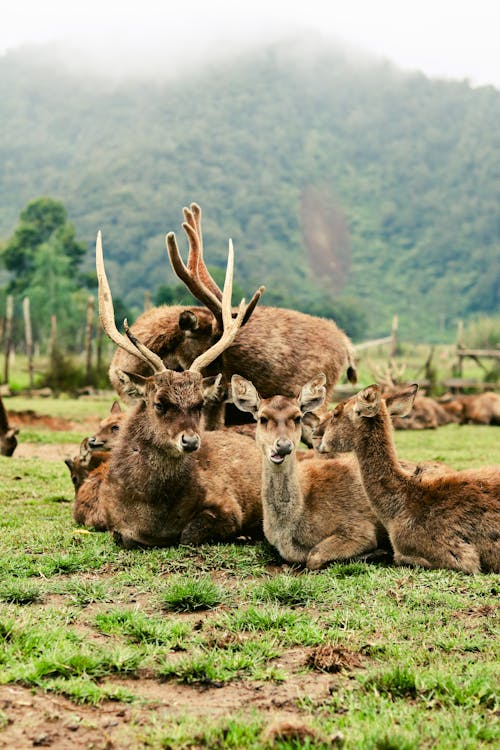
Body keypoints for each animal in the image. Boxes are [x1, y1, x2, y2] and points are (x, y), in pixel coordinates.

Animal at [94, 226, 266, 548]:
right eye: (159, 403)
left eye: (199, 404)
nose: (190, 441)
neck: (151, 514)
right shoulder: (113, 523)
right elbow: (125, 537)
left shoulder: (228, 505)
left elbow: (189, 534)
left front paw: (242, 534)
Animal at [231, 374, 390, 572]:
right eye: (262, 418)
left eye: (297, 417)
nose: (283, 445)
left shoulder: (361, 529)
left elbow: (313, 556)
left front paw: (376, 553)